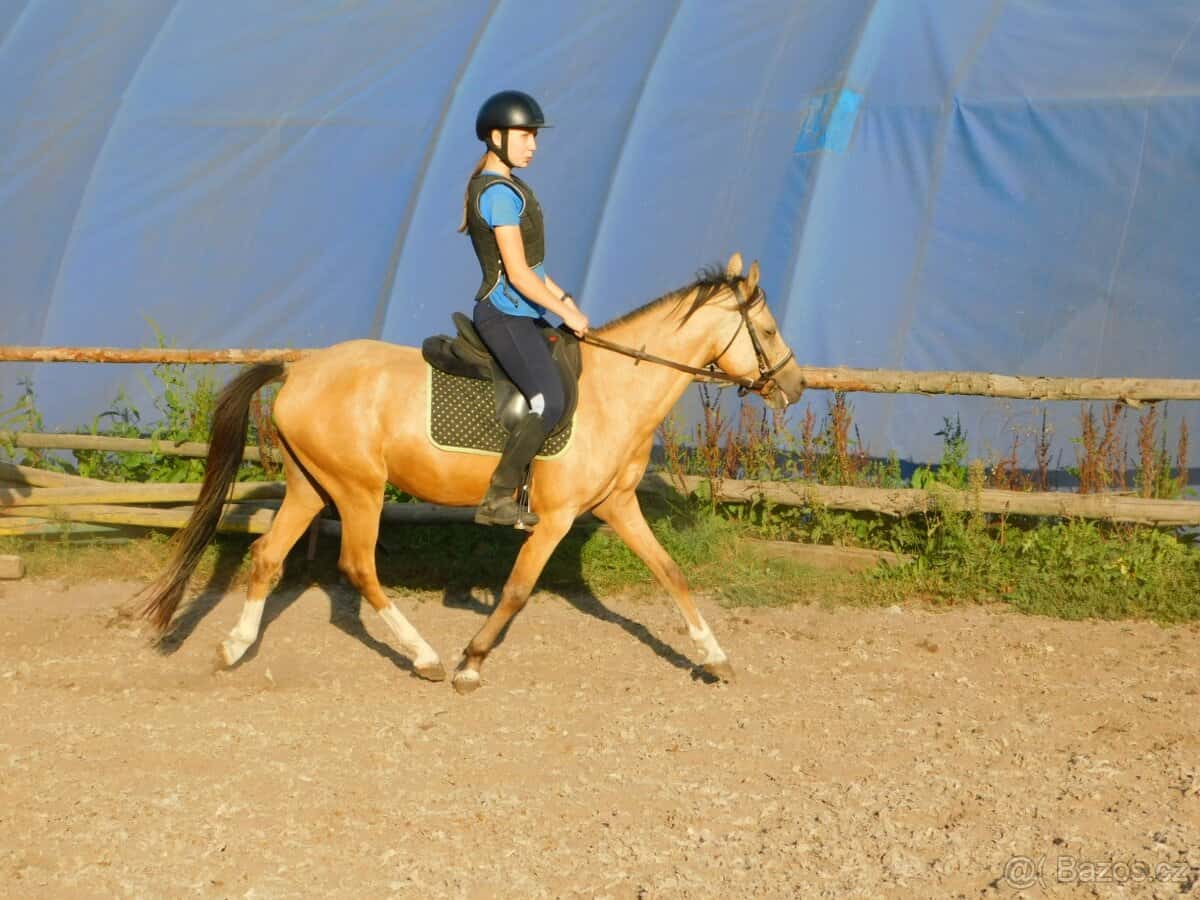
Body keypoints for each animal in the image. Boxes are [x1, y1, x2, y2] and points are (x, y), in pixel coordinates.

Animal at [140, 252, 806, 693]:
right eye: (769, 330)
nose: (795, 387)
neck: (614, 390)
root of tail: (297, 370)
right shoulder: (556, 517)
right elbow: (517, 589)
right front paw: (472, 661)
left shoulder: (617, 504)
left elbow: (671, 573)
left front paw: (714, 657)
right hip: (359, 490)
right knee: (358, 568)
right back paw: (426, 657)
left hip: (311, 485)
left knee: (268, 557)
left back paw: (233, 648)